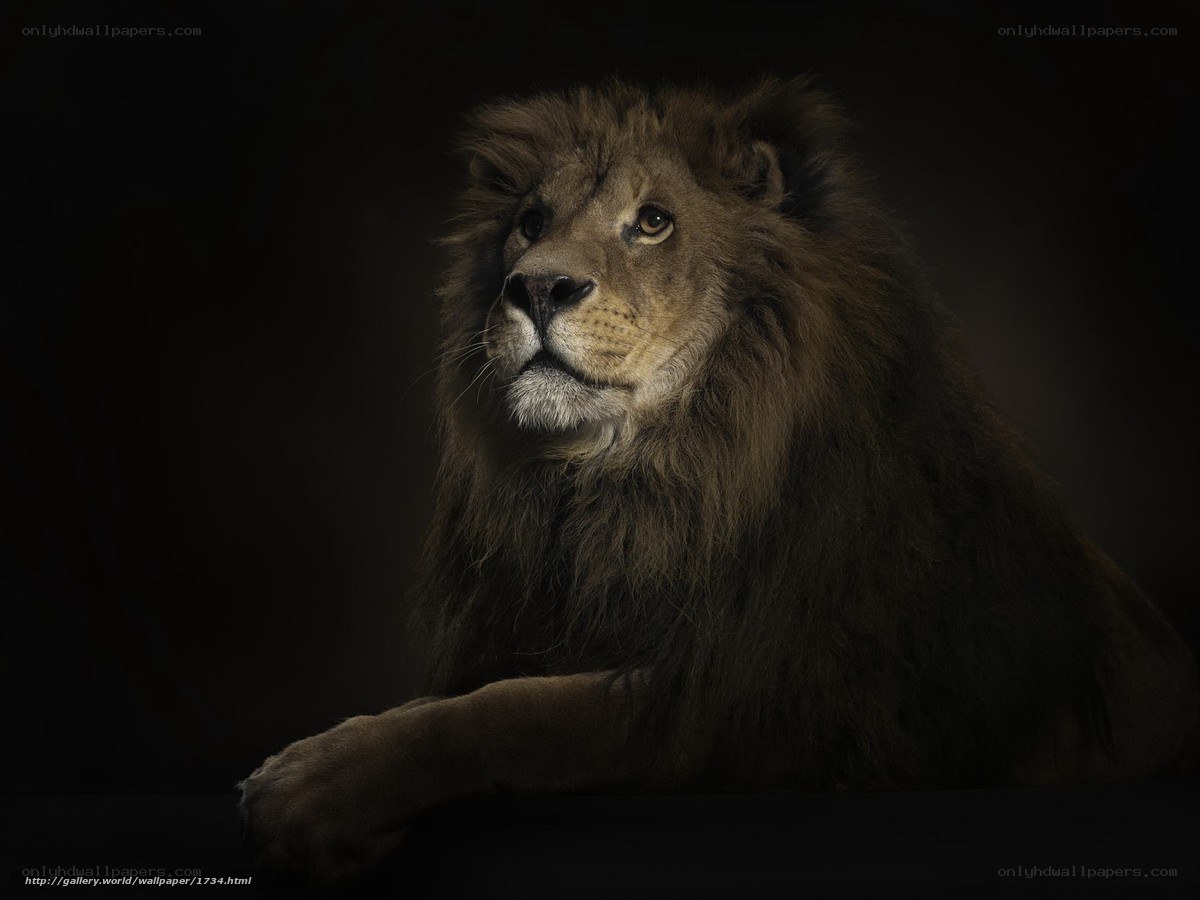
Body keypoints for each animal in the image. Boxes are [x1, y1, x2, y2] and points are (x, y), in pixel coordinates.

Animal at [239, 78, 1200, 881]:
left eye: (653, 222)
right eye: (530, 220)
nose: (535, 287)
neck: (636, 483)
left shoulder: (754, 700)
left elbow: (513, 712)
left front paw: (311, 785)